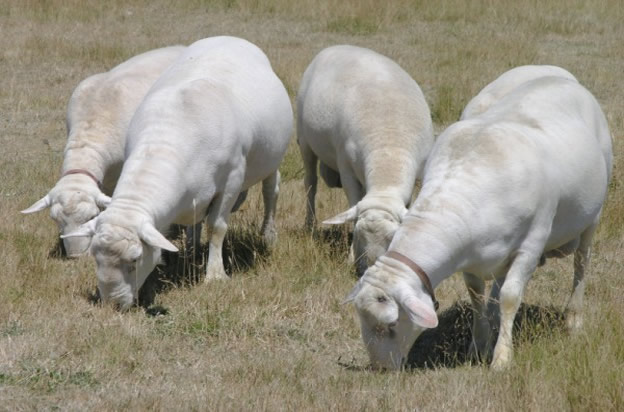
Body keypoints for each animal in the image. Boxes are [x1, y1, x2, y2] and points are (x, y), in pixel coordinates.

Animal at [62, 37, 294, 310]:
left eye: (135, 260)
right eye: (95, 258)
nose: (113, 305)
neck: (166, 141)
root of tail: (229, 38)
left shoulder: (231, 181)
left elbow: (217, 227)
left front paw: (215, 275)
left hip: (272, 158)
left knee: (270, 192)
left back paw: (268, 233)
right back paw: (192, 248)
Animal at [298, 45, 434, 276]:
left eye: (391, 238)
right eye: (359, 235)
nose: (368, 268)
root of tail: (337, 46)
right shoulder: (346, 169)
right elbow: (354, 201)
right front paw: (351, 255)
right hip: (305, 141)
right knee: (310, 183)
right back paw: (310, 225)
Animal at [346, 75, 616, 370]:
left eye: (392, 324)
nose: (380, 368)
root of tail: (559, 79)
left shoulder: (530, 246)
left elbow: (511, 296)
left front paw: (501, 358)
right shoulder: (471, 258)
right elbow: (476, 296)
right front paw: (479, 346)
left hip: (593, 216)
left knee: (581, 264)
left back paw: (573, 318)